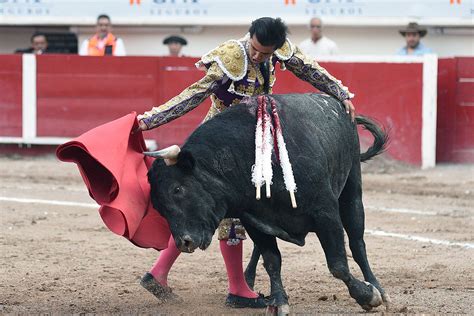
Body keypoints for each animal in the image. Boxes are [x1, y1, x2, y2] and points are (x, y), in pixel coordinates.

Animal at [147, 93, 388, 312]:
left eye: (178, 189)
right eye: (157, 206)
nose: (184, 242)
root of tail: (336, 103)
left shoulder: (326, 214)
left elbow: (338, 264)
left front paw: (367, 296)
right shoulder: (255, 220)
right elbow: (272, 260)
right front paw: (278, 302)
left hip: (352, 189)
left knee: (357, 241)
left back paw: (378, 288)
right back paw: (246, 284)